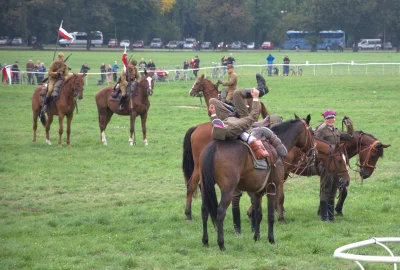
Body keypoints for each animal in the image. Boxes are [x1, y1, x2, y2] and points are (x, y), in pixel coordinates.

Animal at [198, 115, 314, 250]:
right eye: (312, 132)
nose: (313, 151)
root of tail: (214, 146)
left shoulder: (257, 193)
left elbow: (258, 215)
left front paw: (256, 237)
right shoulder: (272, 189)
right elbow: (270, 215)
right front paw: (271, 239)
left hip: (205, 188)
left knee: (204, 211)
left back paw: (205, 241)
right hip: (227, 191)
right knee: (220, 212)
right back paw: (221, 244)